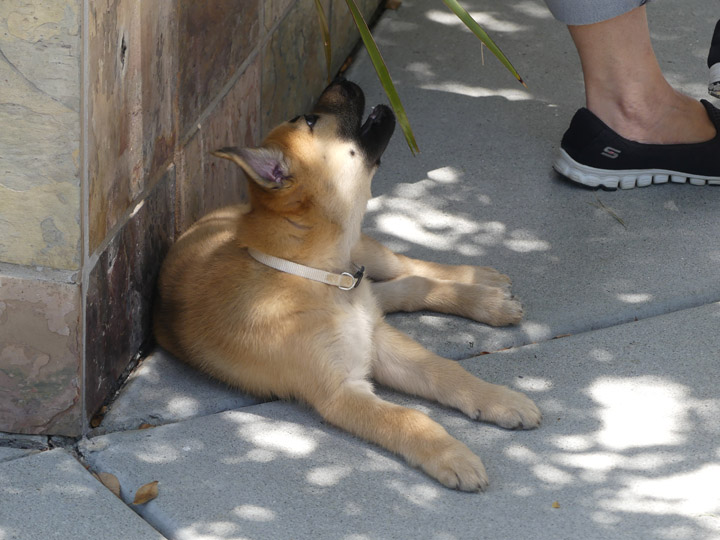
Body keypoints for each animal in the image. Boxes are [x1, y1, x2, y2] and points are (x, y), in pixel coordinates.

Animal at [156, 79, 540, 490]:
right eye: (309, 119)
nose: (343, 82)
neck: (312, 274)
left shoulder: (380, 341)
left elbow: (446, 372)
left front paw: (501, 400)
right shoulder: (342, 390)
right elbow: (407, 417)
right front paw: (453, 455)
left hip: (369, 255)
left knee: (410, 269)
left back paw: (485, 287)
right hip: (367, 291)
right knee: (403, 290)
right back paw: (490, 297)